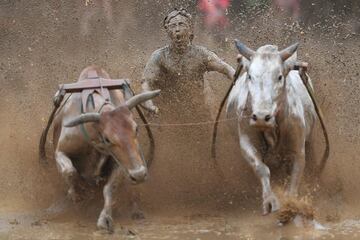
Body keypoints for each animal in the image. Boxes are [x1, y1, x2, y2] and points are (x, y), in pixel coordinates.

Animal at [52, 66, 160, 232]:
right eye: (108, 139)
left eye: (136, 129)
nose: (140, 175)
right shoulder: (60, 151)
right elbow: (69, 171)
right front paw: (76, 194)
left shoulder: (121, 164)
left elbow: (109, 188)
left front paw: (105, 218)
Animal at [226, 40, 316, 215]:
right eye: (250, 76)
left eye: (279, 76)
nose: (261, 117)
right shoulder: (245, 140)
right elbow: (261, 168)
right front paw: (270, 201)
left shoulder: (299, 148)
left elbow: (295, 176)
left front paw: (291, 205)